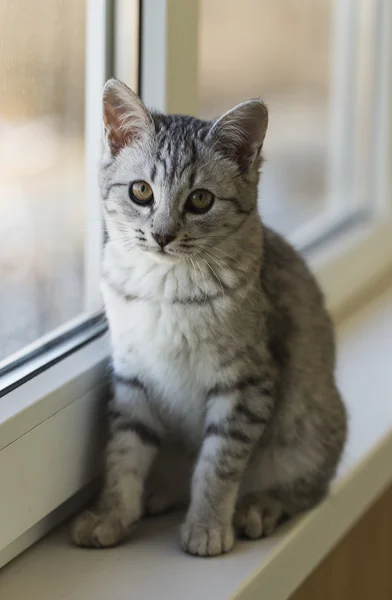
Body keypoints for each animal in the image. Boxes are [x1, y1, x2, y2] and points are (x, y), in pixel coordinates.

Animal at [72, 77, 348, 556]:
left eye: (200, 199)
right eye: (140, 191)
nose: (162, 235)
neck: (164, 287)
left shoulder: (248, 383)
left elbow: (218, 463)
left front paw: (206, 525)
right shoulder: (132, 376)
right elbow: (123, 453)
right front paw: (112, 515)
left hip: (309, 427)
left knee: (307, 489)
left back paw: (259, 507)